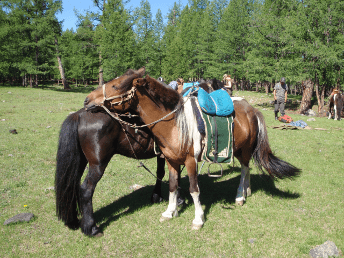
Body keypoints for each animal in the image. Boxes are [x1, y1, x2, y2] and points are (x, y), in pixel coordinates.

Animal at [54, 107, 167, 238]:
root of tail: (79, 114)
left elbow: (160, 173)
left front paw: (156, 196)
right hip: (97, 165)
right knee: (86, 189)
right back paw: (91, 228)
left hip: (80, 161)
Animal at [84, 68, 300, 230]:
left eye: (115, 85)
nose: (87, 100)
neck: (174, 123)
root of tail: (252, 109)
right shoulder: (171, 161)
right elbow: (172, 186)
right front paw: (169, 212)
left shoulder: (190, 161)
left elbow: (194, 189)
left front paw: (198, 219)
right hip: (239, 150)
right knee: (246, 170)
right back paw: (246, 191)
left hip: (245, 150)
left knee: (245, 169)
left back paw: (240, 195)